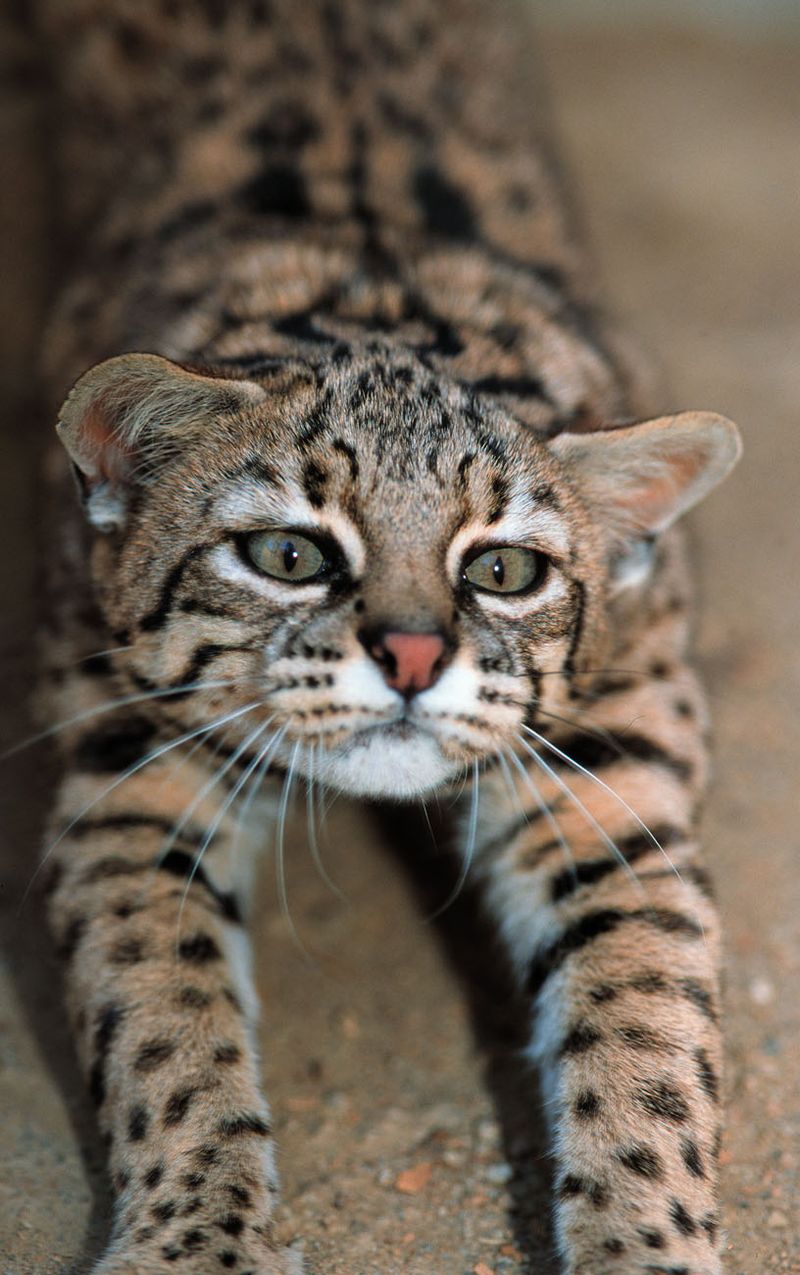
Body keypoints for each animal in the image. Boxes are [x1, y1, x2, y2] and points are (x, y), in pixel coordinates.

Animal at [34, 2, 740, 1275]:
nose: (412, 661)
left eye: (502, 571)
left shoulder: (613, 779)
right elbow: (161, 1013)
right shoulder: (122, 762)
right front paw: (196, 1236)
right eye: (290, 555)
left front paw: (646, 1246)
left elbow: (652, 1035)